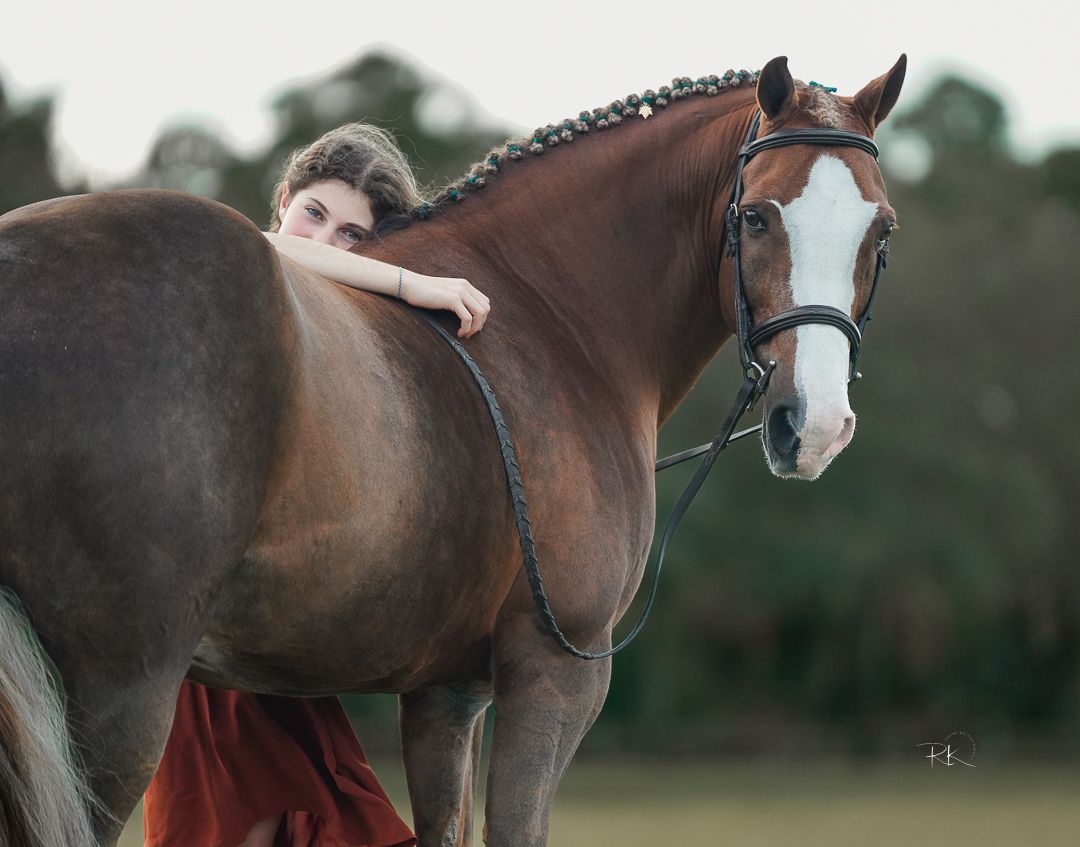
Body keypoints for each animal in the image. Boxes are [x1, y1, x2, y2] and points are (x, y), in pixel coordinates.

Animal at [0, 55, 905, 846]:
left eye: (881, 229)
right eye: (757, 215)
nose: (814, 424)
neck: (552, 313)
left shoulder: (446, 690)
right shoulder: (557, 670)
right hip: (115, 701)